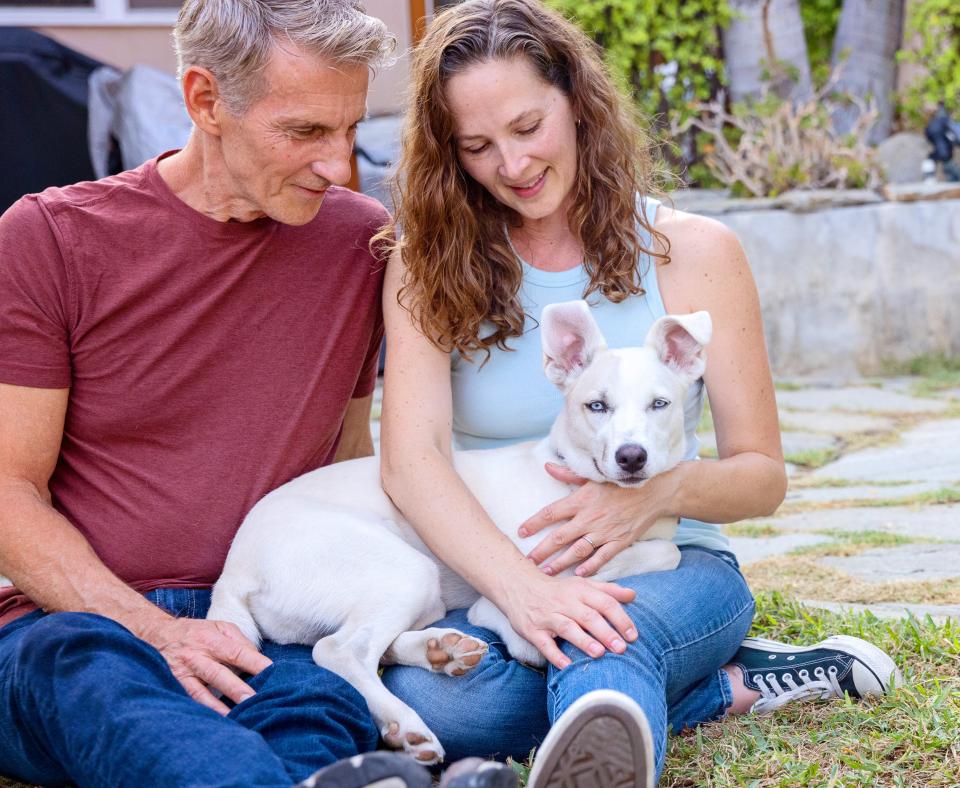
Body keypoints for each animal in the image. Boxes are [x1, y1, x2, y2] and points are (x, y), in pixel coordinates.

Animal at [210, 298, 708, 760]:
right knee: (338, 651)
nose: (631, 457)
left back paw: (441, 651)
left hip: (410, 597)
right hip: (405, 571)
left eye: (659, 404)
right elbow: (649, 557)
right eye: (596, 406)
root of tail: (234, 570)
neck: (571, 476)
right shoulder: (530, 574)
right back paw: (405, 725)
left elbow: (665, 548)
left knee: (371, 646)